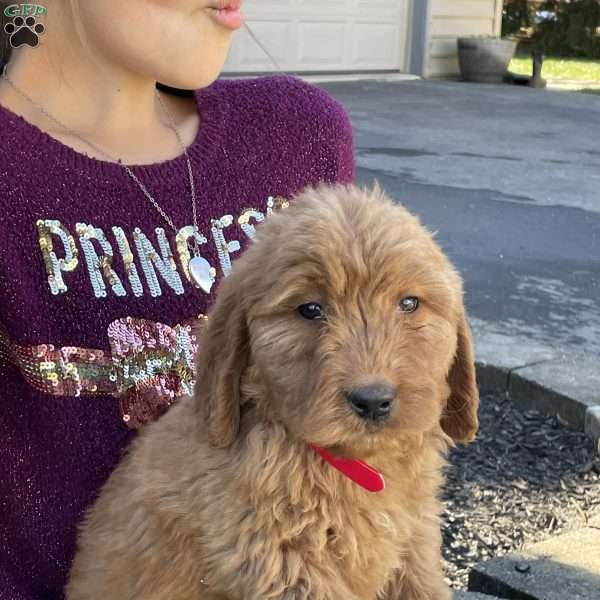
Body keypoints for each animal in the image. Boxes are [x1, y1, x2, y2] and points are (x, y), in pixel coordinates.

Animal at [67, 183, 478, 600]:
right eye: (310, 309)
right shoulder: (284, 565)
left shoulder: (415, 539)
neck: (354, 464)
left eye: (409, 303)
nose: (373, 401)